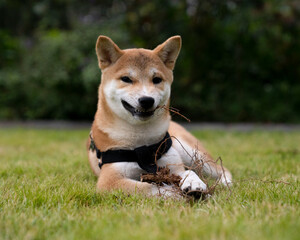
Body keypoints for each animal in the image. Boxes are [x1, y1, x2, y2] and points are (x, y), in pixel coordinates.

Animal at [86, 35, 232, 197]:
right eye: (126, 79)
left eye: (156, 79)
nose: (146, 100)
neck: (142, 142)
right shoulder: (110, 180)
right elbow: (149, 188)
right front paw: (174, 193)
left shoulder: (173, 165)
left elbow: (189, 172)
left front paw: (195, 183)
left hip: (191, 152)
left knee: (221, 169)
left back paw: (225, 183)